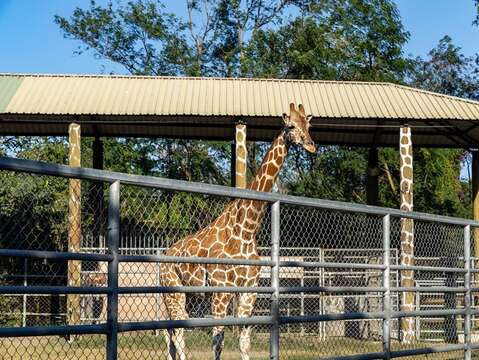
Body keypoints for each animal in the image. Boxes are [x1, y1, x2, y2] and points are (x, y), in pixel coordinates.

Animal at [158, 102, 316, 360]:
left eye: (309, 125)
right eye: (291, 126)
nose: (312, 145)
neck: (247, 230)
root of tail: (164, 257)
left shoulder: (248, 290)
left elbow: (244, 340)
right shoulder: (220, 291)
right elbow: (218, 340)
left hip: (189, 296)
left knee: (171, 332)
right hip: (173, 290)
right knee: (178, 332)